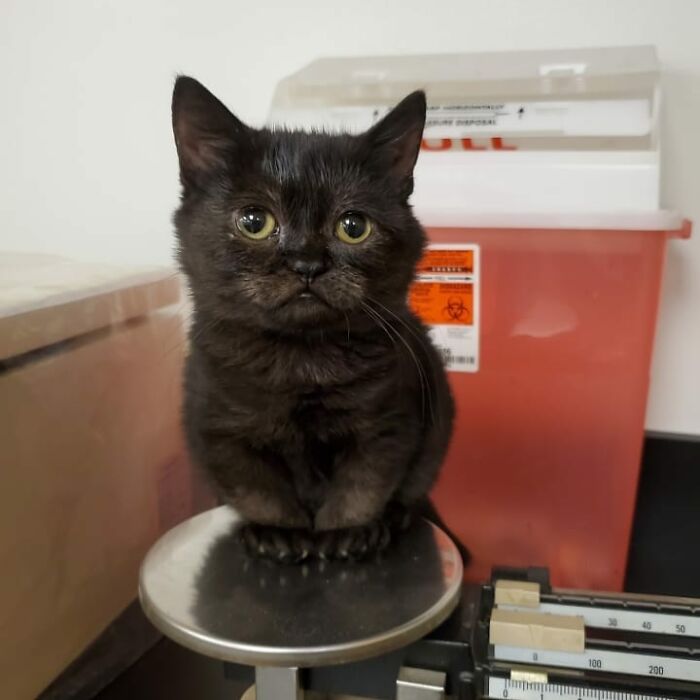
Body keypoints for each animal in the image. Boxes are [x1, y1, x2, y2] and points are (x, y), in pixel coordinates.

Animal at [170, 74, 454, 560]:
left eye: (353, 227)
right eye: (254, 221)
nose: (306, 263)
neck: (299, 360)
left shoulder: (386, 425)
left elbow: (363, 486)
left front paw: (347, 533)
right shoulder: (220, 431)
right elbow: (258, 490)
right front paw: (278, 533)